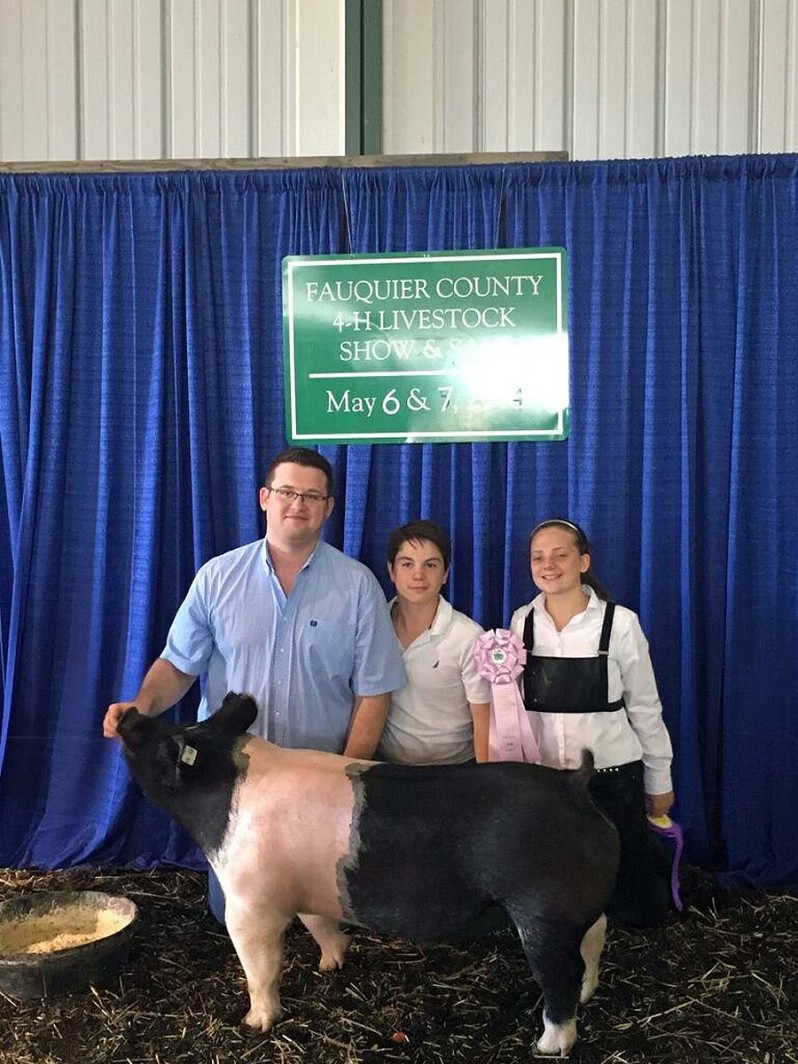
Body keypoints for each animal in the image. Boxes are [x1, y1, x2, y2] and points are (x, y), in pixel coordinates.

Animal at [117, 689, 617, 1055]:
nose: (128, 715)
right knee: (597, 936)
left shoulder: (251, 904)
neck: (220, 794)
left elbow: (260, 968)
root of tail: (575, 786)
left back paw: (548, 1046)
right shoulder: (311, 888)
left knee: (560, 974)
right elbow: (320, 925)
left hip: (542, 912)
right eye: (178, 726)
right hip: (578, 908)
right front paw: (330, 964)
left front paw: (254, 1022)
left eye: (159, 741)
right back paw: (588, 993)